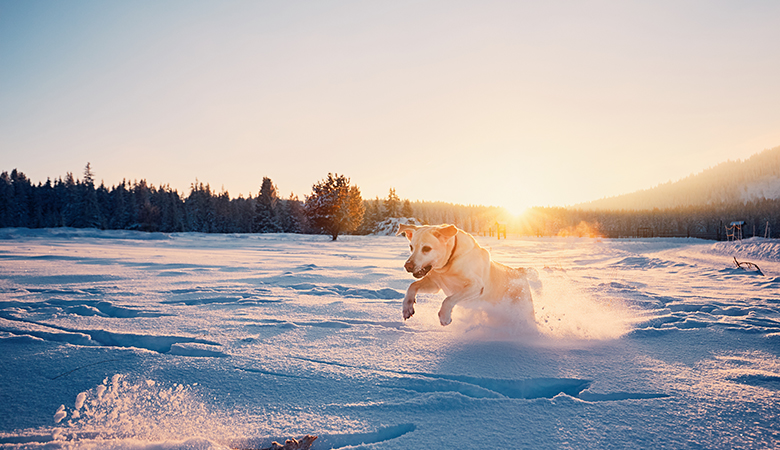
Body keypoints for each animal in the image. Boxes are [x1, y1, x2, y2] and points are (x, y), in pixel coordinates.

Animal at [396, 224, 536, 326]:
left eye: (426, 248)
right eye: (411, 247)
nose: (407, 266)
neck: (449, 264)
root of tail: (520, 272)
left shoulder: (476, 286)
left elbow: (449, 299)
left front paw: (444, 316)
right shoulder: (435, 284)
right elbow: (412, 286)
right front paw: (407, 307)